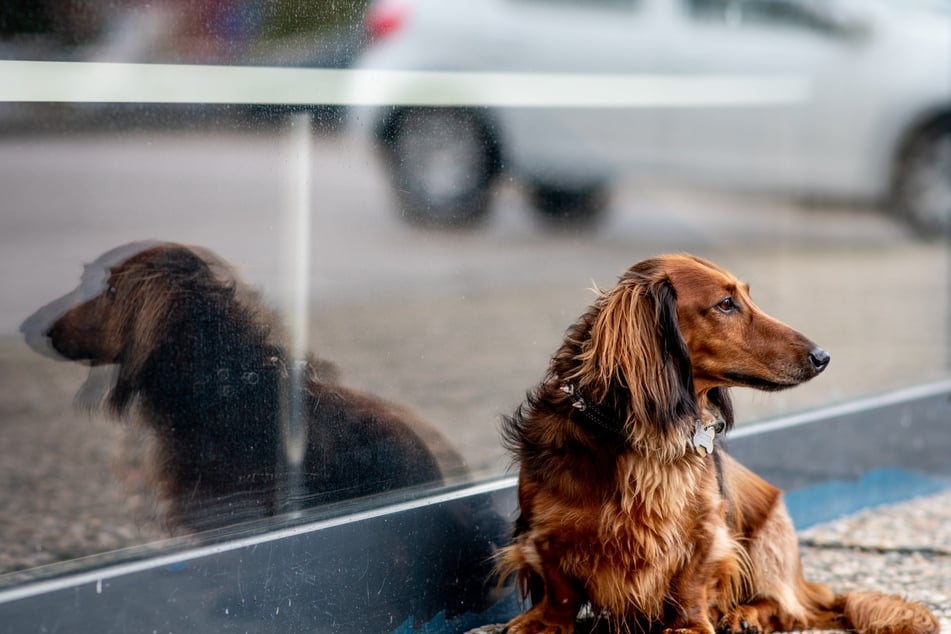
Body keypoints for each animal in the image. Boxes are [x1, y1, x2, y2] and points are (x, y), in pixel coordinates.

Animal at [498, 254, 936, 628]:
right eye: (726, 304)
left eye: (746, 296)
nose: (822, 357)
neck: (647, 435)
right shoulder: (543, 532)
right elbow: (560, 589)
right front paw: (543, 623)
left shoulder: (708, 530)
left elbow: (692, 582)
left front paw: (689, 625)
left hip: (770, 535)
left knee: (788, 607)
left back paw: (747, 617)